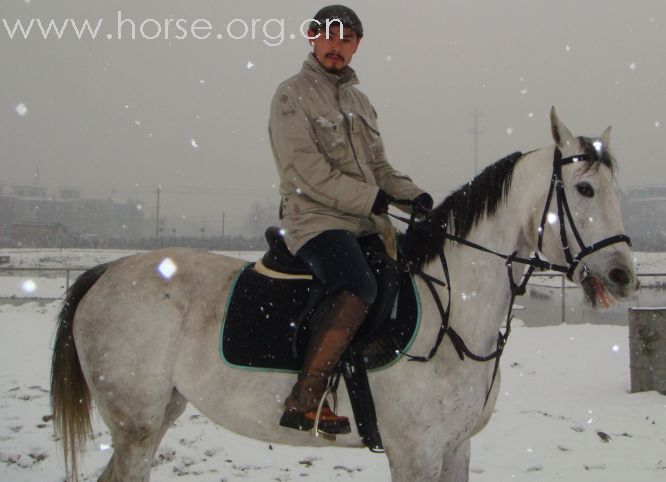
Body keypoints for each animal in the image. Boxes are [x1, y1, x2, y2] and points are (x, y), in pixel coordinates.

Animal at [49, 107, 636, 480]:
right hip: (137, 427)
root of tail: (107, 271)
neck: (452, 313)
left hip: (157, 416)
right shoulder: (415, 455)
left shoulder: (455, 450)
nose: (624, 275)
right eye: (584, 188)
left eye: (616, 189)